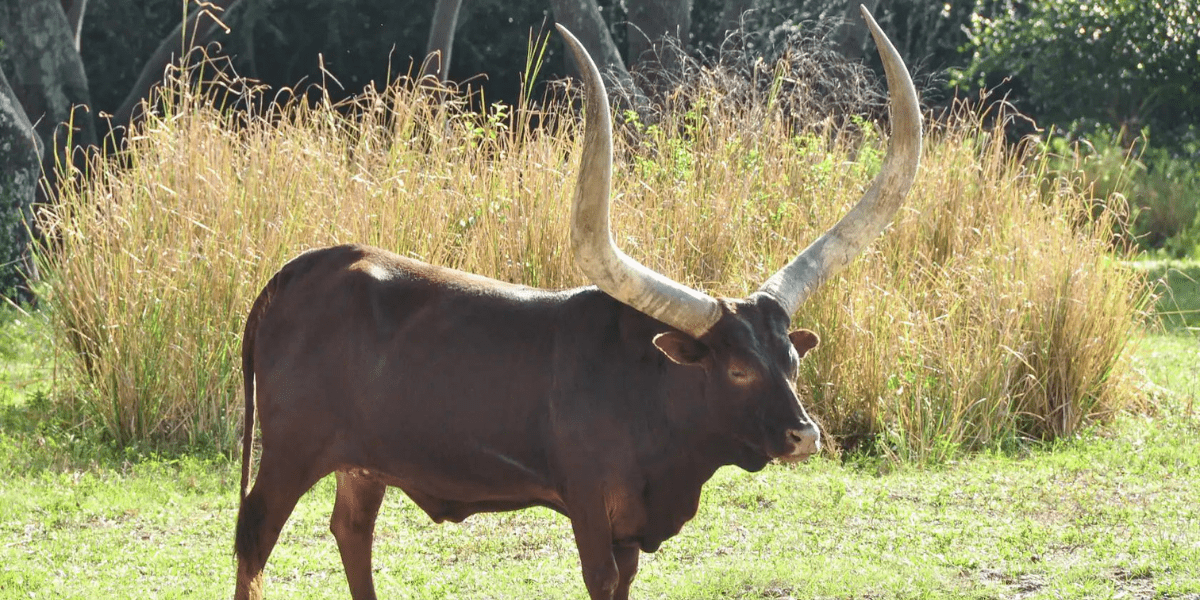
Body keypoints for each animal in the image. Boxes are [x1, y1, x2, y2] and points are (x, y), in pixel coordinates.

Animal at [233, 7, 920, 600]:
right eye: (737, 369)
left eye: (792, 361)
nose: (805, 435)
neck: (650, 389)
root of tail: (297, 270)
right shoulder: (591, 507)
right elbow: (601, 582)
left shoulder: (632, 529)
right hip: (289, 452)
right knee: (255, 538)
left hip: (362, 465)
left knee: (351, 533)